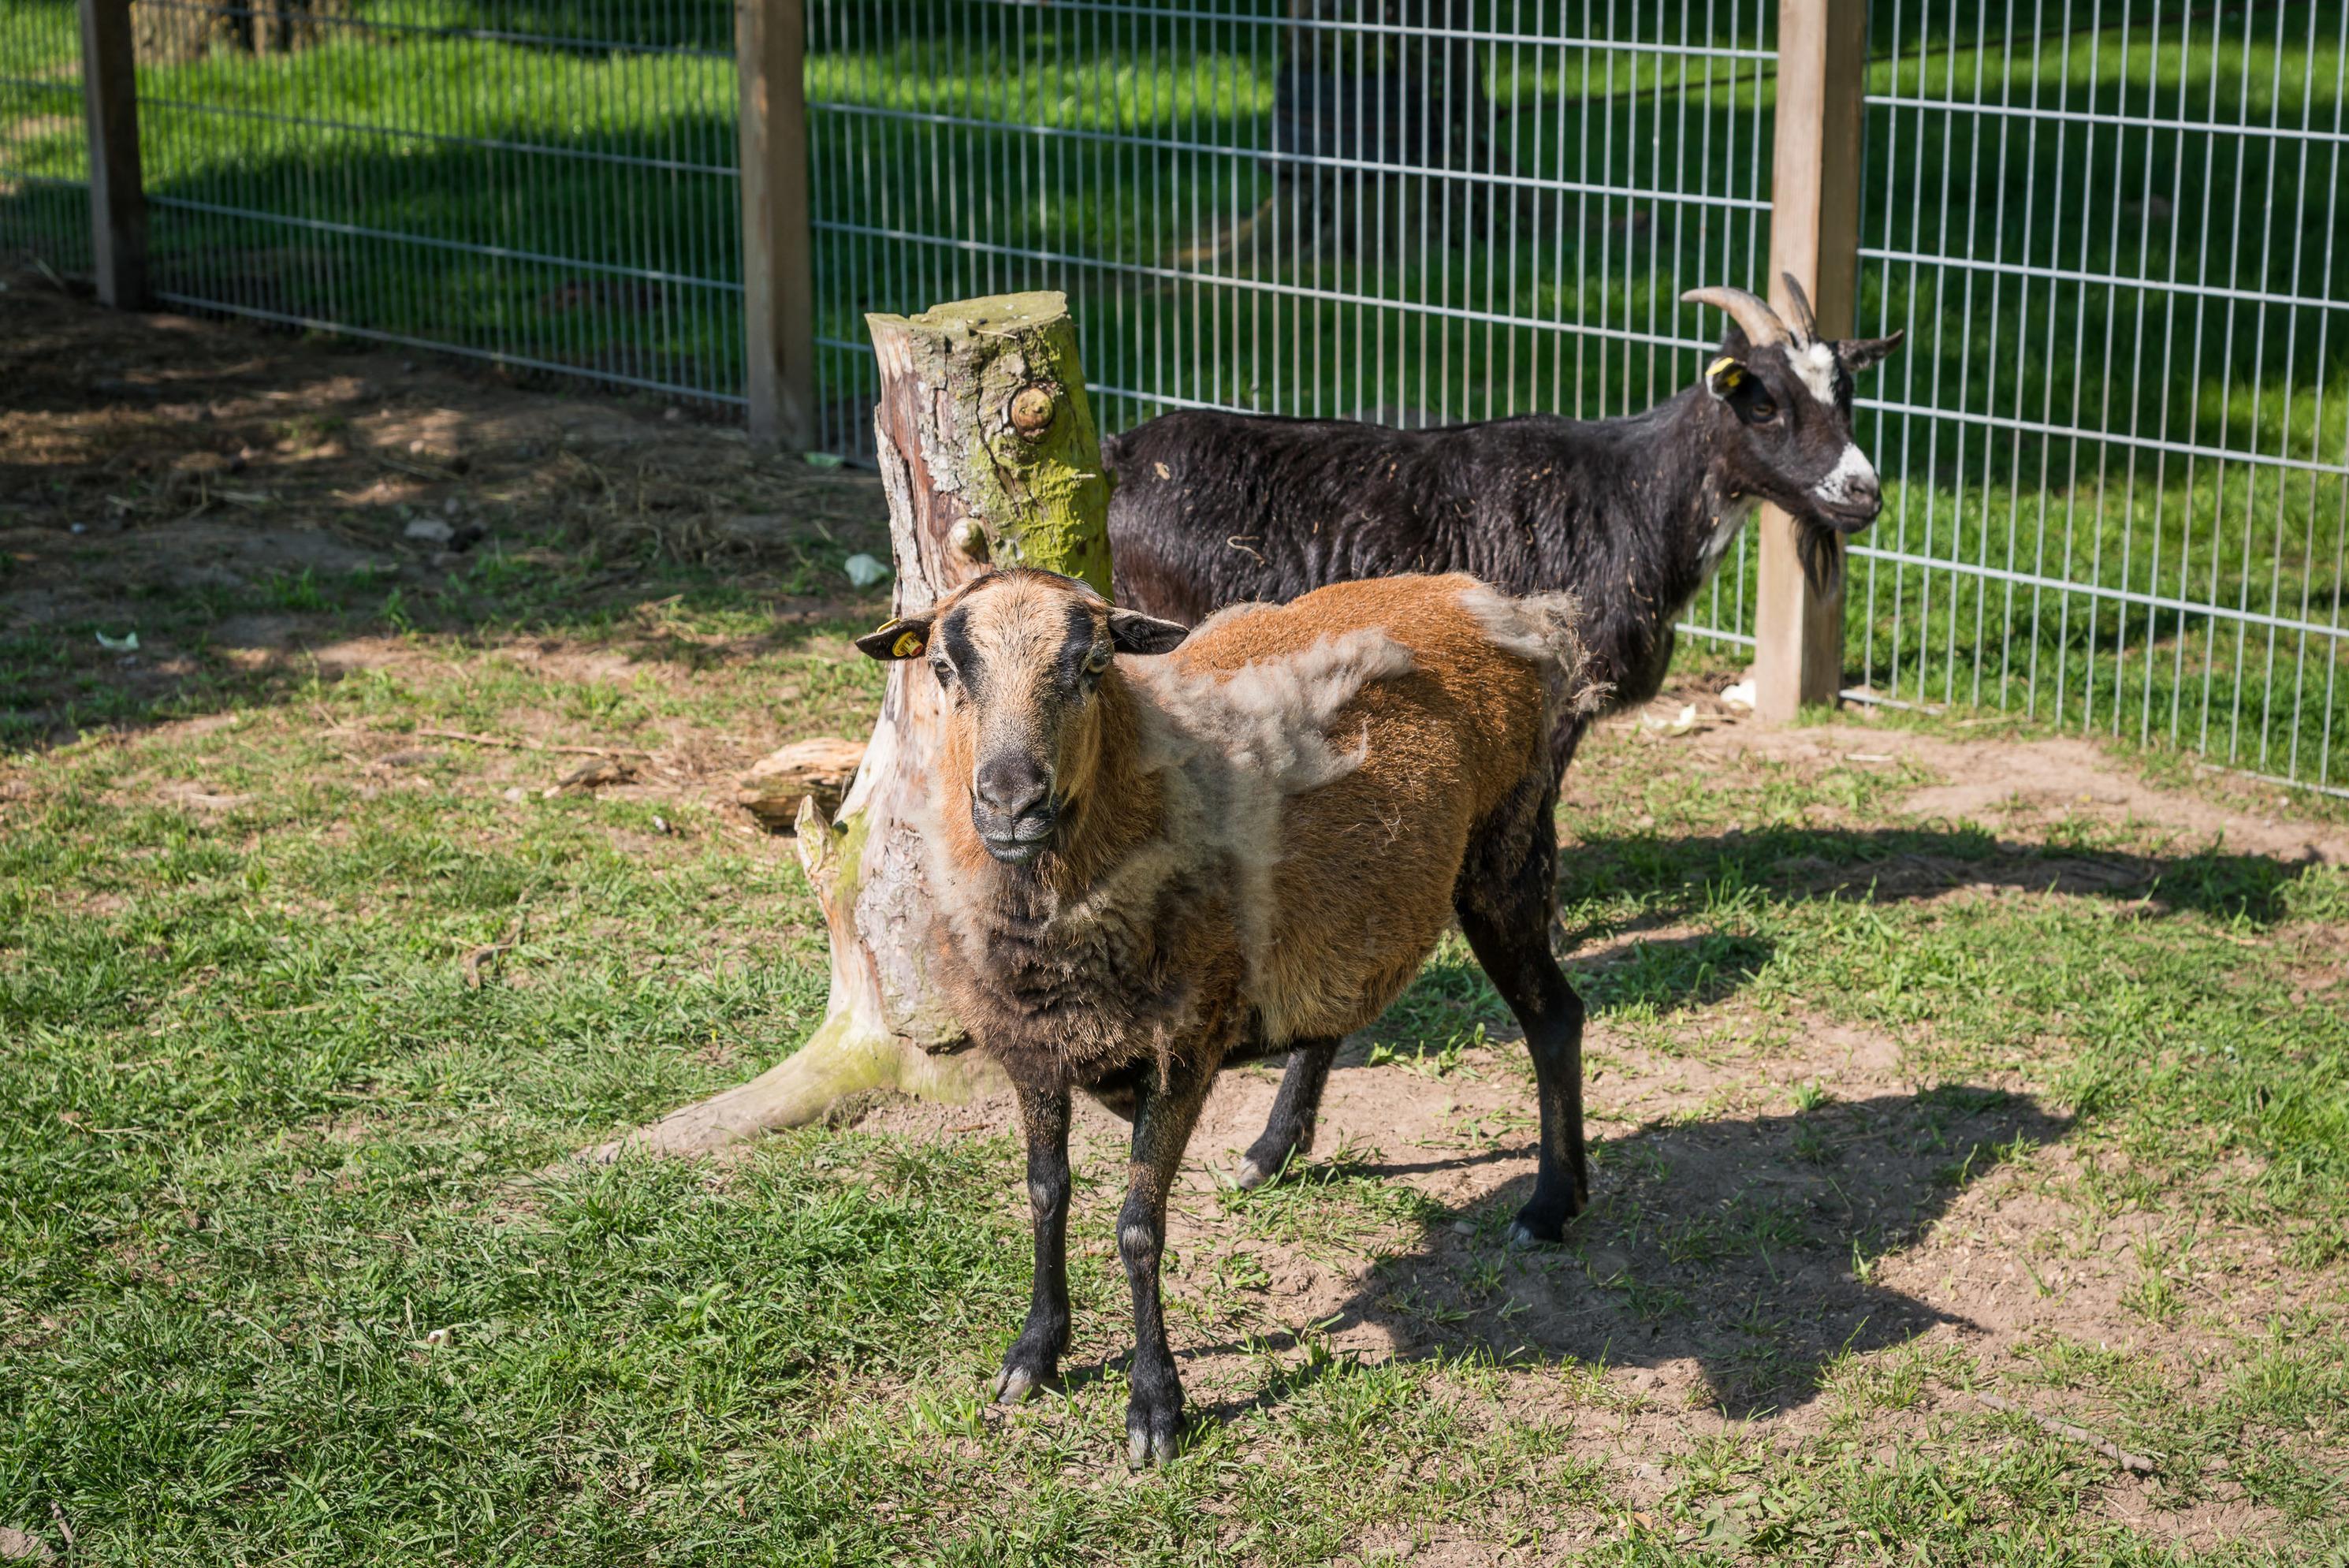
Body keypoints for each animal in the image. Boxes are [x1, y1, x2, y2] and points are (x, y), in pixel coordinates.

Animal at [854, 566, 1600, 1467]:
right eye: (942, 669)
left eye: (1095, 666)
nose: (1010, 803)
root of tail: (1479, 596)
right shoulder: (1031, 1046)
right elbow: (1045, 1193)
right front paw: (1035, 1351)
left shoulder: (1184, 1046)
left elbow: (1138, 1227)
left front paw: (1155, 1408)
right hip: (1357, 899)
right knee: (1339, 1009)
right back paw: (1273, 1150)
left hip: (1506, 849)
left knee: (1555, 1018)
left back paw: (1550, 1204)